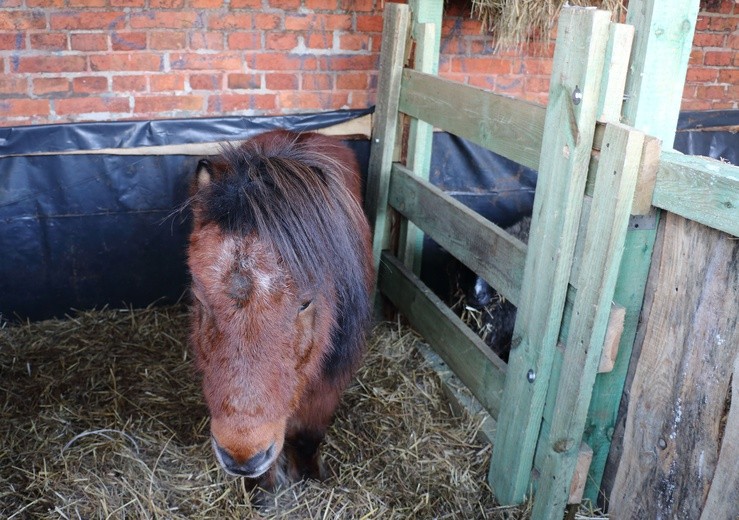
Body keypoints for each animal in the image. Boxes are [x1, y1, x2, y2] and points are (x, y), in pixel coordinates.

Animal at [188, 130, 376, 492]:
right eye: (200, 299)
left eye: (306, 302)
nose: (242, 457)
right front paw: (265, 488)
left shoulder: (329, 382)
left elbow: (308, 434)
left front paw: (311, 474)